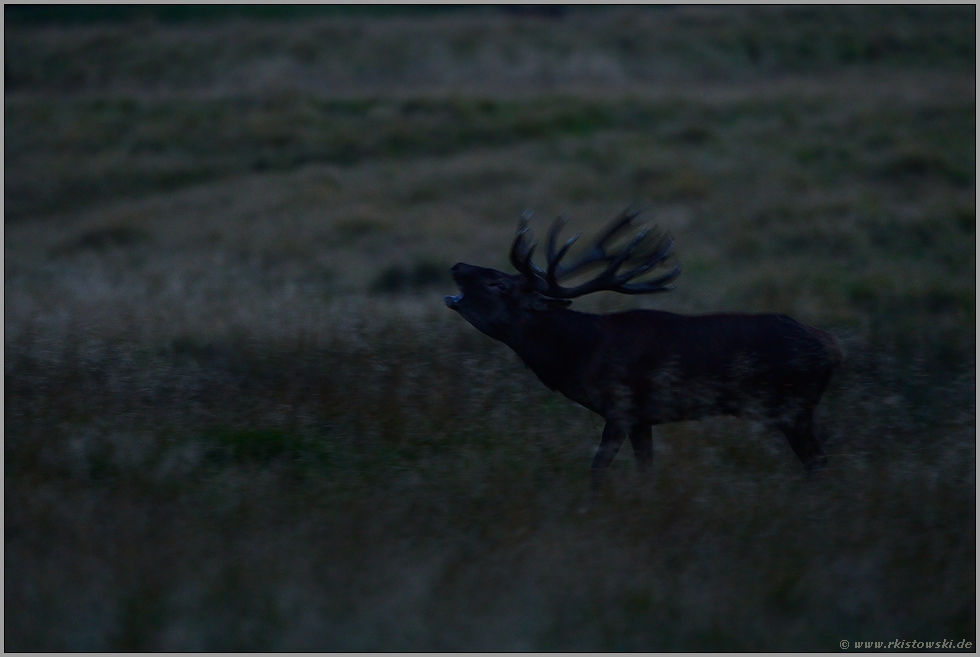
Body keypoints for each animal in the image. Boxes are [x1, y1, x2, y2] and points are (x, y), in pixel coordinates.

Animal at [445, 209, 843, 489]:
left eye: (499, 284)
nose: (457, 265)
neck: (580, 357)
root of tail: (835, 347)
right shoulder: (643, 420)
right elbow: (646, 471)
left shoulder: (621, 406)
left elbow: (597, 469)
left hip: (794, 405)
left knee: (819, 462)